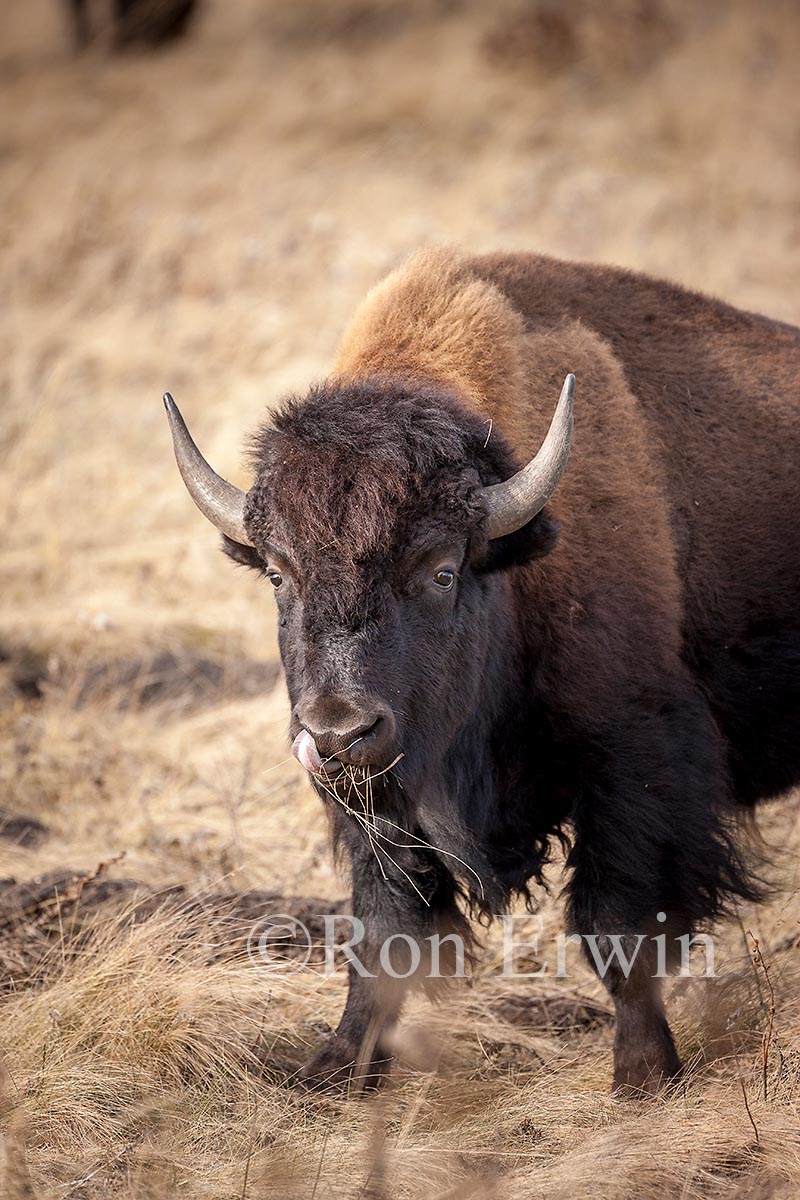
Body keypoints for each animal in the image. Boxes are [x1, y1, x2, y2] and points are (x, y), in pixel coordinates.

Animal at [164, 248, 800, 1094]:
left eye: (440, 571)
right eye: (276, 573)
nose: (337, 733)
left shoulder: (635, 759)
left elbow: (617, 925)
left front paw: (642, 1074)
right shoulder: (383, 807)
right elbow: (384, 933)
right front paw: (336, 1067)